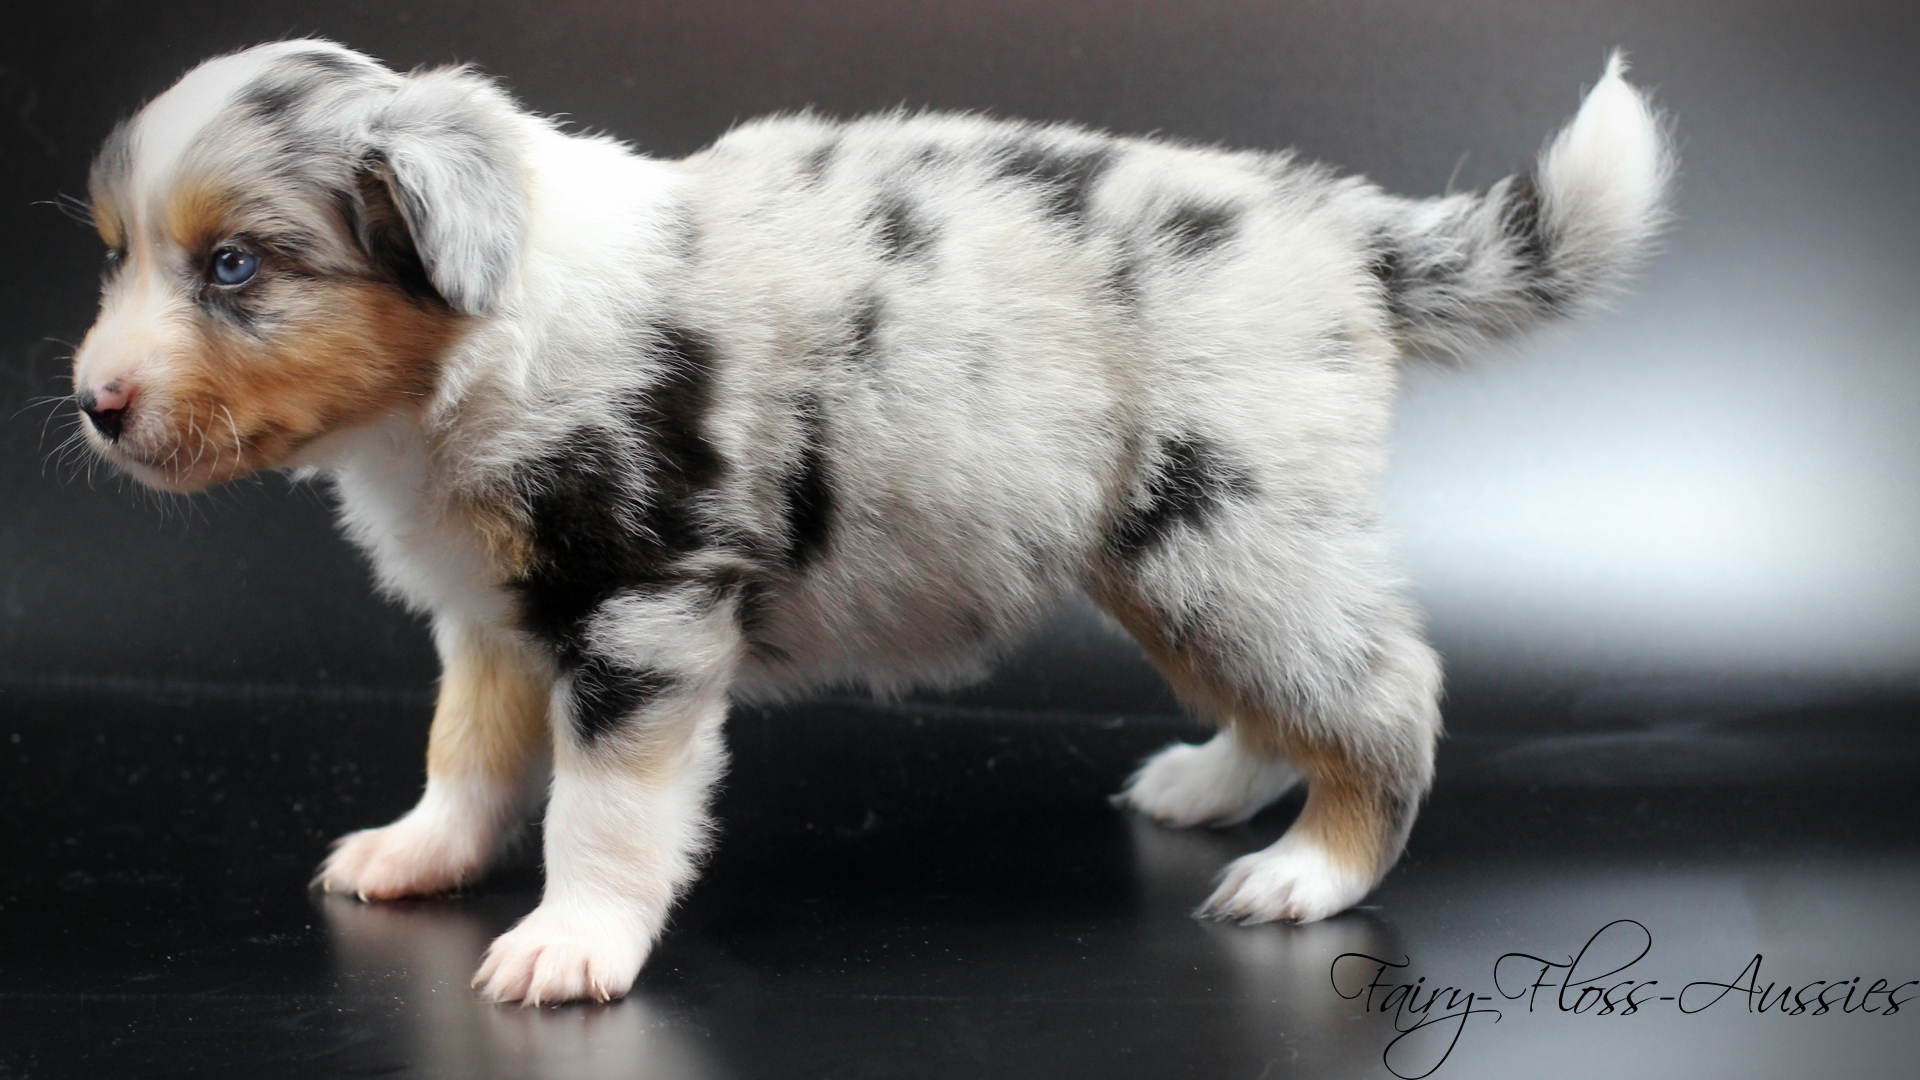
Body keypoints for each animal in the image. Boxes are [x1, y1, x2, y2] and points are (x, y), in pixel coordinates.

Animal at [69, 40, 1670, 1004]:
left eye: (234, 266)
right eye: (117, 257)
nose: (91, 405)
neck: (471, 340)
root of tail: (1335, 224)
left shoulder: (645, 608)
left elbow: (600, 808)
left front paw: (568, 948)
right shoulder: (495, 613)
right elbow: (463, 755)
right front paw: (412, 858)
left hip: (1229, 531)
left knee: (1386, 690)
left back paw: (1303, 872)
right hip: (1171, 551)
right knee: (1286, 693)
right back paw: (1208, 789)